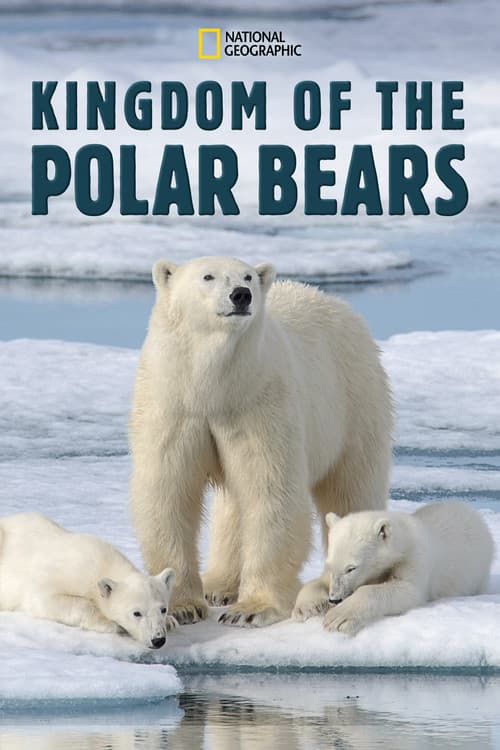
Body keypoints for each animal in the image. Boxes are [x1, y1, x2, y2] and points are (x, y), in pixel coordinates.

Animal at [0, 513, 177, 648]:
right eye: (136, 613)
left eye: (163, 609)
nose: (158, 640)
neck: (101, 563)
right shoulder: (60, 575)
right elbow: (43, 599)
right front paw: (112, 624)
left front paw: (171, 622)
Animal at [129, 256, 393, 627]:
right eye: (208, 276)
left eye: (248, 276)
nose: (241, 295)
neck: (213, 388)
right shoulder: (174, 407)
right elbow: (169, 491)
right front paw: (182, 607)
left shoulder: (259, 403)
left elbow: (270, 491)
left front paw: (251, 609)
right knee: (232, 507)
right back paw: (219, 585)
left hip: (355, 401)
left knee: (351, 487)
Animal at [293, 501, 494, 635]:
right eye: (330, 564)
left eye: (351, 568)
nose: (335, 599)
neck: (404, 540)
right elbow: (317, 582)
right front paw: (306, 608)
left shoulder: (415, 558)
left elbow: (407, 590)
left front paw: (338, 617)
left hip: (478, 569)